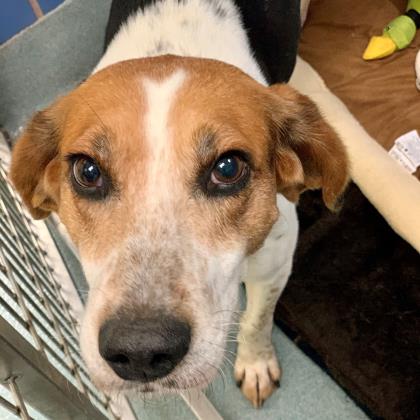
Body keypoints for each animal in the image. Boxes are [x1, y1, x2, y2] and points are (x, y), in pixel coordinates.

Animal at [10, 0, 348, 408]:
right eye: (87, 171)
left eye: (228, 168)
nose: (140, 350)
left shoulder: (276, 262)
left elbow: (256, 320)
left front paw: (256, 364)